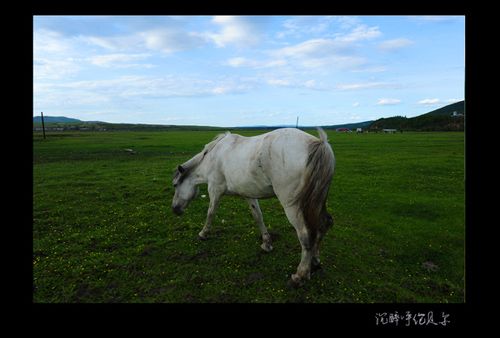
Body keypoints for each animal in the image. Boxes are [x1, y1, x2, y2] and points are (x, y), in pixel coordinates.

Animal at [172, 128, 336, 286]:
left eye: (175, 185)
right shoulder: (248, 194)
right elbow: (258, 217)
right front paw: (266, 243)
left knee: (305, 235)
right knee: (324, 225)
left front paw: (203, 233)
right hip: (317, 203)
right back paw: (314, 261)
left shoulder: (214, 189)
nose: (175, 209)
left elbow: (210, 212)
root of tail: (319, 143)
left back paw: (300, 275)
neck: (212, 157)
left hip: (293, 207)